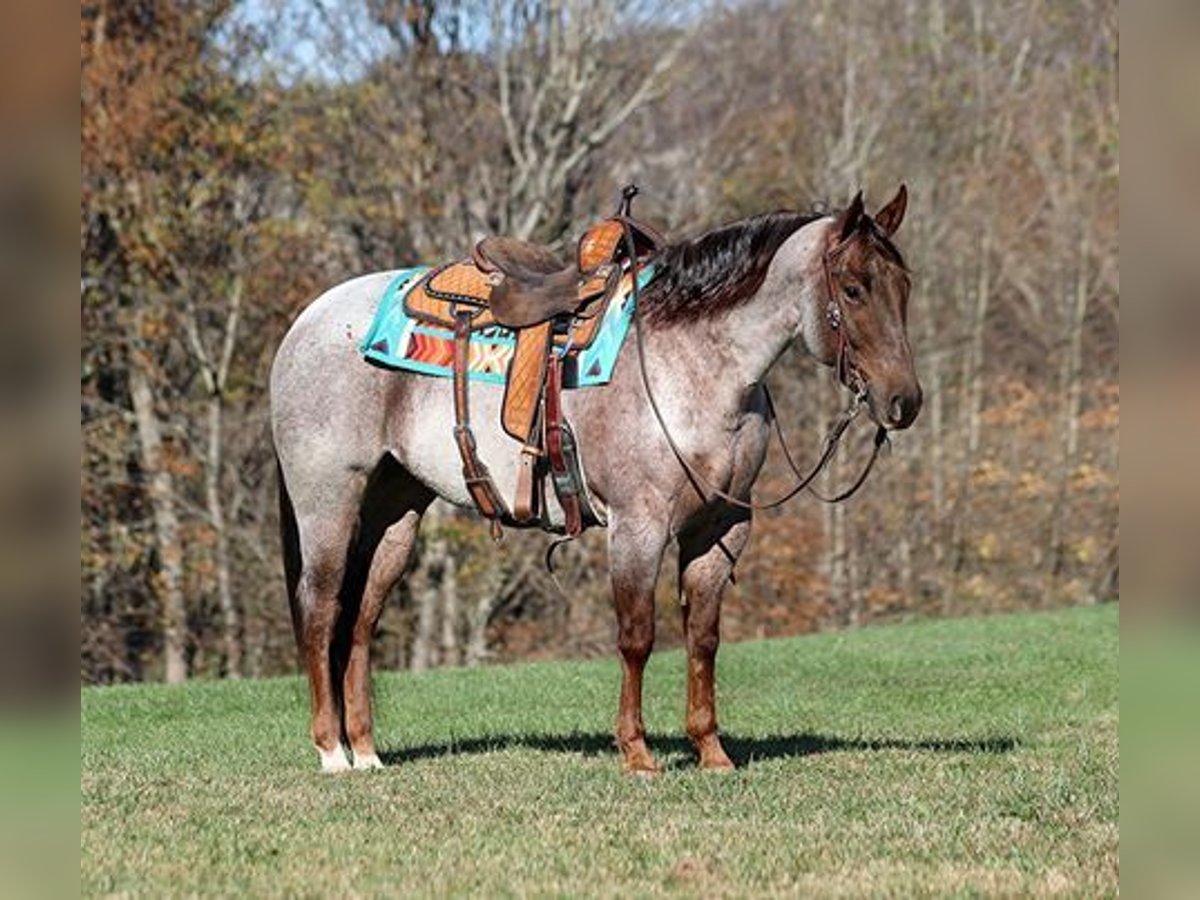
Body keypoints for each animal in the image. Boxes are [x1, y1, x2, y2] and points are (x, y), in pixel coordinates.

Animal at [270, 186, 921, 774]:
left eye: (904, 287)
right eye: (854, 288)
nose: (904, 402)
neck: (696, 365)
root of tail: (307, 321)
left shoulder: (722, 526)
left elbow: (704, 638)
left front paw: (711, 752)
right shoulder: (638, 525)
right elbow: (637, 637)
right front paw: (636, 753)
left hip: (396, 510)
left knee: (361, 618)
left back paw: (367, 752)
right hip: (328, 501)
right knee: (322, 608)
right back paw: (332, 753)